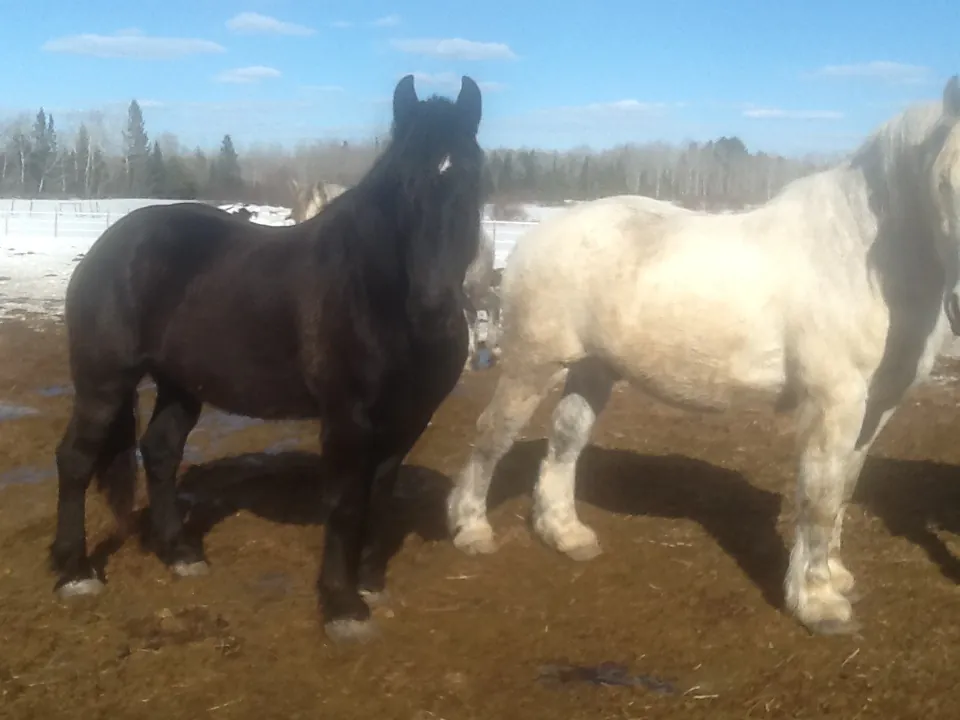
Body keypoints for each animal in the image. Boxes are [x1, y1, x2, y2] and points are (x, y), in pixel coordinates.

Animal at [49, 74, 486, 644]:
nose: (434, 309)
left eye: (473, 182)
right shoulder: (346, 419)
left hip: (181, 384)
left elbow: (381, 493)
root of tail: (108, 247)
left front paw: (369, 583)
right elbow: (346, 501)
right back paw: (74, 572)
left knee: (161, 452)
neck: (374, 292)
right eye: (402, 186)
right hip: (104, 382)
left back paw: (180, 553)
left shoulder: (407, 419)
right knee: (76, 460)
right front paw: (342, 604)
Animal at [446, 75, 960, 637]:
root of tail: (533, 238)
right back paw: (470, 529)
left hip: (592, 370)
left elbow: (844, 486)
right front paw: (818, 604)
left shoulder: (877, 408)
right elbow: (820, 496)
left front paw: (836, 577)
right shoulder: (834, 401)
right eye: (946, 182)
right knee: (492, 436)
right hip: (533, 364)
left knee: (565, 442)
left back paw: (565, 535)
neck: (857, 256)